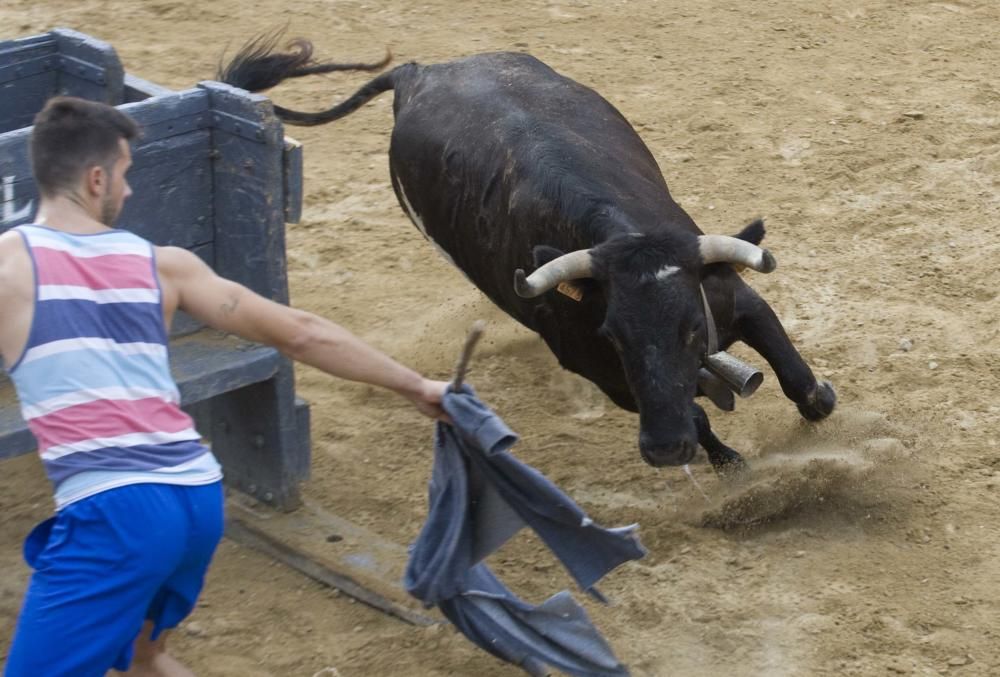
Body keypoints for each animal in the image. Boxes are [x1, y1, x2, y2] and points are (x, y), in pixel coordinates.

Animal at [221, 35, 836, 470]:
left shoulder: (737, 297)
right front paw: (731, 465)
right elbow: (698, 416)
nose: (663, 450)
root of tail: (420, 73)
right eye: (613, 335)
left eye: (689, 328)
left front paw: (820, 405)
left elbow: (793, 374)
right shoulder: (606, 376)